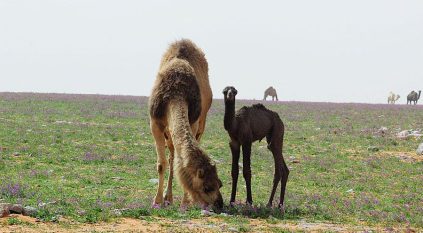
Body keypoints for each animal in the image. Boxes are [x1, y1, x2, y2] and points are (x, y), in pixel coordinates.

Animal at [149, 39, 224, 209]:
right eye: (207, 187)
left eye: (220, 183)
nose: (220, 203)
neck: (175, 94)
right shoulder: (155, 123)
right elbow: (162, 164)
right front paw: (157, 200)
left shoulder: (193, 122)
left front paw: (185, 202)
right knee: (171, 157)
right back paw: (168, 197)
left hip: (201, 123)